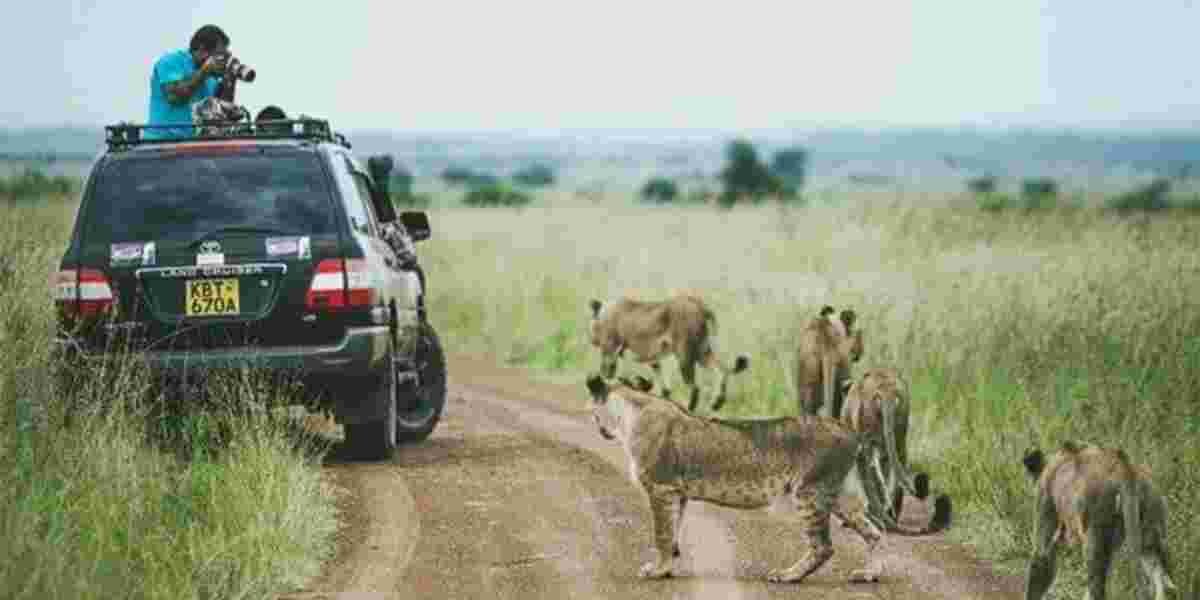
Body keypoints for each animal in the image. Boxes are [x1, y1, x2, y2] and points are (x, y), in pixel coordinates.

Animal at [587, 293, 749, 413]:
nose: (591, 340)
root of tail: (700, 305)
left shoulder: (610, 349)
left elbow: (608, 372)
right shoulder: (647, 355)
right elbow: (656, 373)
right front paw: (655, 389)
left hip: (685, 354)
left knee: (695, 386)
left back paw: (690, 407)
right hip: (701, 351)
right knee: (721, 369)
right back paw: (717, 402)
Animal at [839, 368, 946, 531]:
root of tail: (886, 389)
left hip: (870, 440)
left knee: (872, 473)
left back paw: (879, 515)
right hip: (898, 434)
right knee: (895, 470)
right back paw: (889, 512)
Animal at [1021, 441, 1176, 600]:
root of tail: (1125, 469)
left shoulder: (1046, 509)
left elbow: (1040, 564)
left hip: (1094, 540)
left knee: (1097, 590)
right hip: (1151, 533)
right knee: (1168, 584)